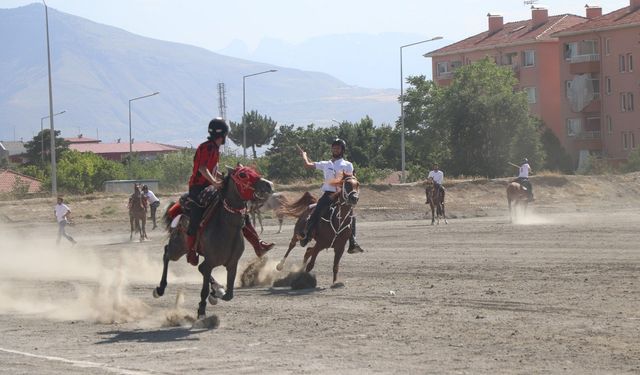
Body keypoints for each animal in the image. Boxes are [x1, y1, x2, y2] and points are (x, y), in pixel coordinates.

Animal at [155, 165, 276, 320]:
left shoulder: (232, 264)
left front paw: (217, 293)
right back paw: (160, 288)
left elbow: (229, 294)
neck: (226, 227)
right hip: (178, 247)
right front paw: (201, 310)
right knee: (167, 254)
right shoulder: (210, 262)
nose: (269, 184)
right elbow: (204, 289)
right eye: (242, 175)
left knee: (198, 266)